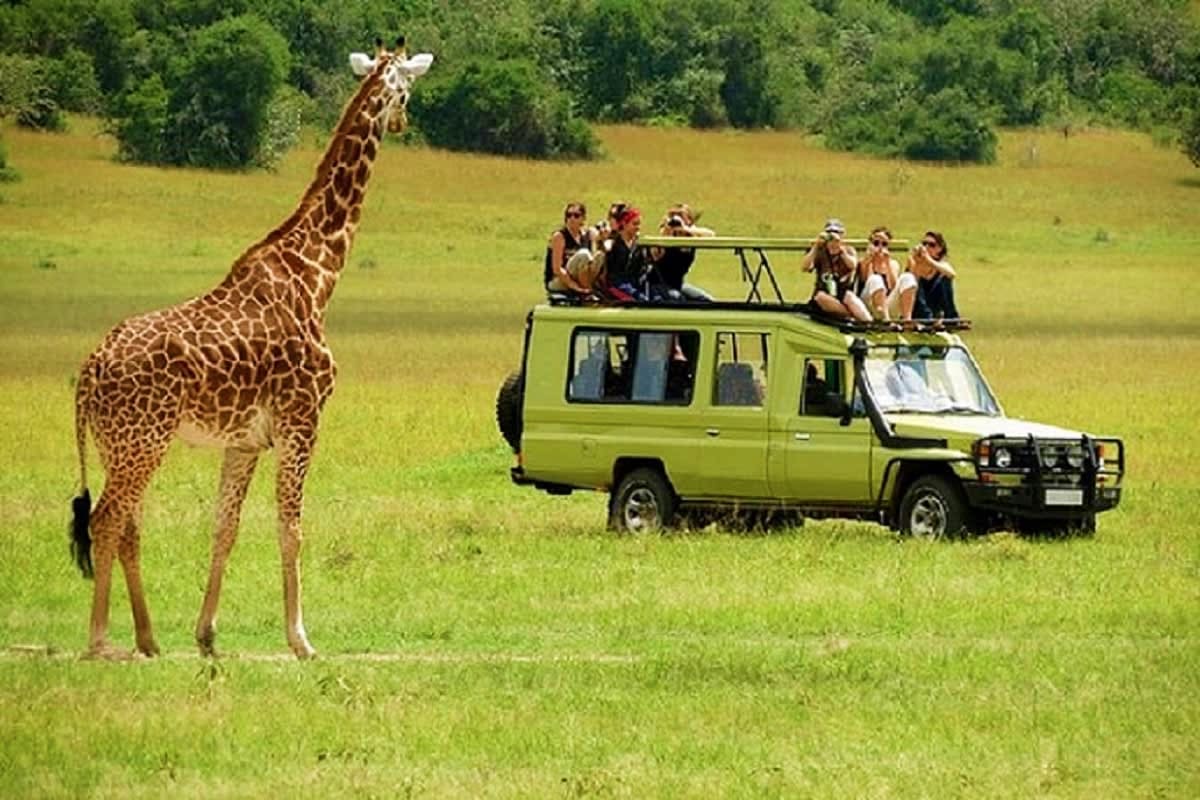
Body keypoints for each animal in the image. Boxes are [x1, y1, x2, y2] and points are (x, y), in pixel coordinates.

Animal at [68, 38, 433, 660]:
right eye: (407, 91)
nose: (406, 121)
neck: (318, 273)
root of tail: (91, 368)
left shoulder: (243, 440)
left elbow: (225, 527)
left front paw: (207, 636)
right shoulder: (301, 421)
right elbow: (292, 527)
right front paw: (302, 641)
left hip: (120, 442)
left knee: (128, 524)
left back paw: (148, 638)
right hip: (144, 439)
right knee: (106, 519)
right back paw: (99, 640)